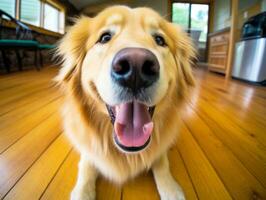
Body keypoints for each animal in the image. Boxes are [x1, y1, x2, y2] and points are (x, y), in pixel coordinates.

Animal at [55, 4, 194, 200]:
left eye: (160, 40)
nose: (136, 67)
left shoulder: (160, 150)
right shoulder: (88, 150)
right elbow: (87, 165)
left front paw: (171, 188)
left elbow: (162, 162)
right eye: (105, 37)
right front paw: (82, 192)